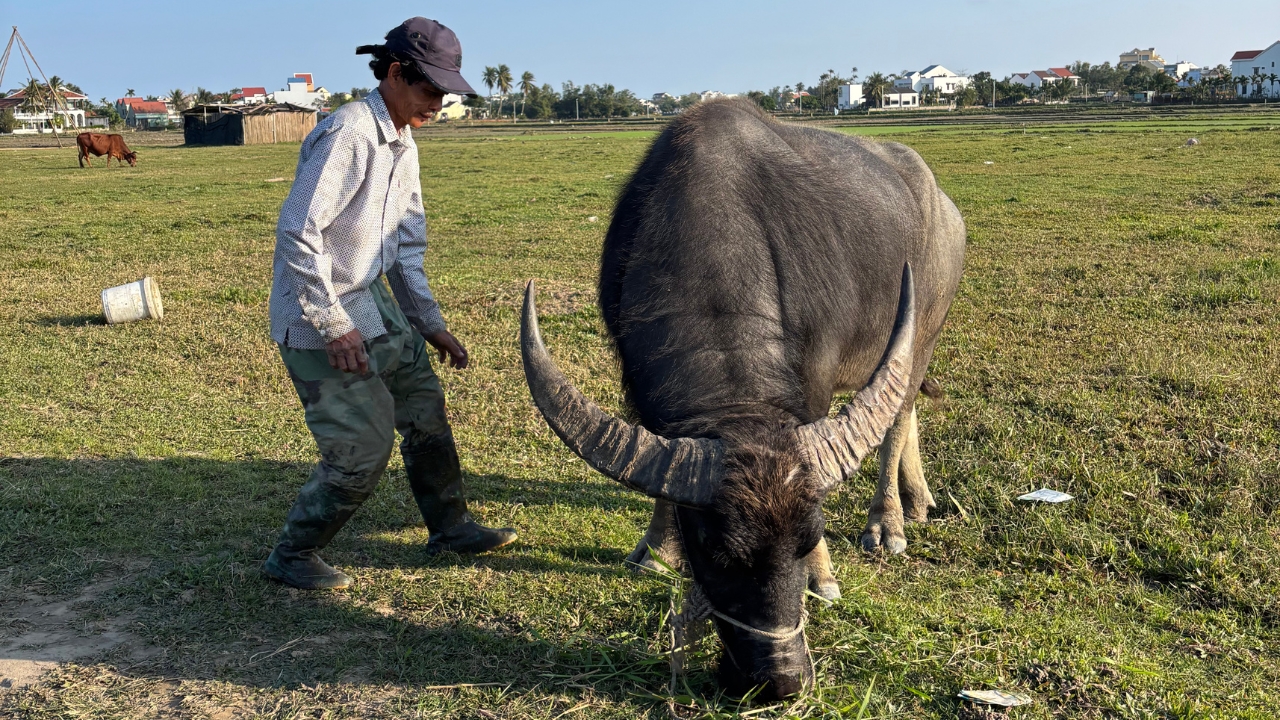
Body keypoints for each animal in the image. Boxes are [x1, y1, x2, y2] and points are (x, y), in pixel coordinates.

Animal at [522, 99, 965, 699]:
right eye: (715, 553)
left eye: (809, 538)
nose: (782, 680)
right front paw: (657, 550)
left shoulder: (813, 383)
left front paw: (824, 577)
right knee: (907, 405)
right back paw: (918, 500)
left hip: (927, 329)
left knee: (896, 418)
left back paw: (888, 524)